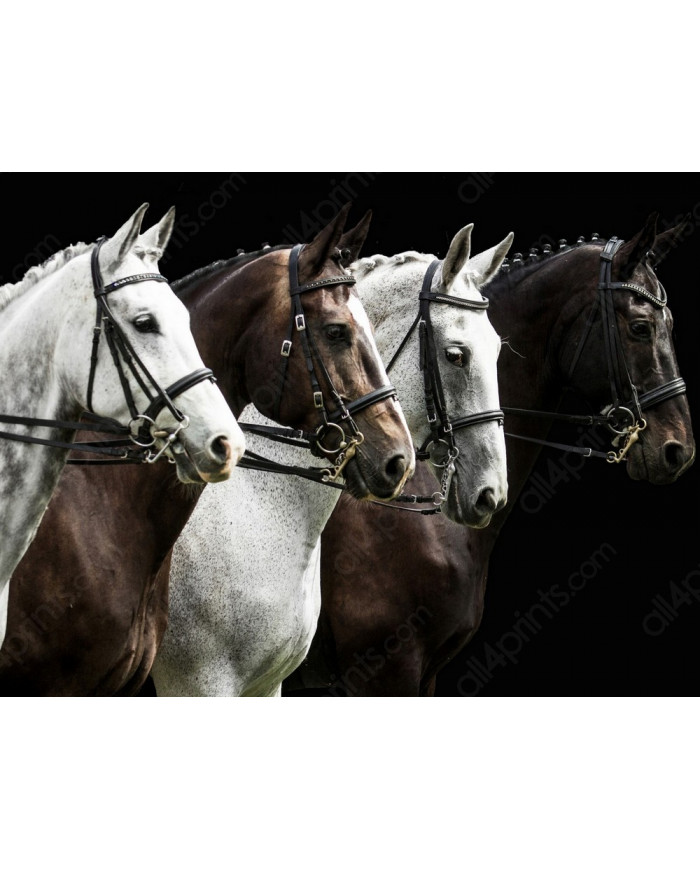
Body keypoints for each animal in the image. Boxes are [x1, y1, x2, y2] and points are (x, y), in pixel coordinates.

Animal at [152, 218, 512, 695]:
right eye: (456, 355)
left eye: (497, 350)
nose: (492, 492)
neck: (254, 505)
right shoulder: (199, 681)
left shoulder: (268, 683)